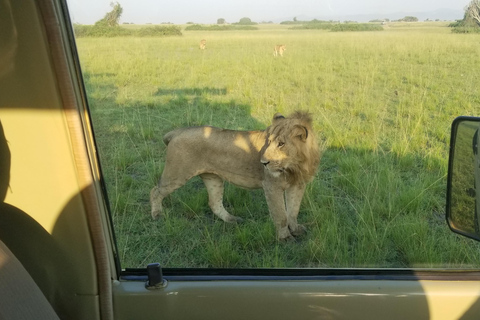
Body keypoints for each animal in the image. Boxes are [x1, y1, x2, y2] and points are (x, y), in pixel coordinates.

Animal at [151, 111, 318, 239]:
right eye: (269, 142)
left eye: (281, 144)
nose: (263, 162)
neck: (295, 166)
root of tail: (178, 131)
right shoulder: (272, 186)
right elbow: (281, 215)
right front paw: (285, 238)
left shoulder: (298, 185)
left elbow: (293, 210)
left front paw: (296, 230)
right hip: (177, 174)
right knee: (155, 191)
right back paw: (157, 215)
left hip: (212, 178)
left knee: (214, 203)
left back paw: (232, 219)